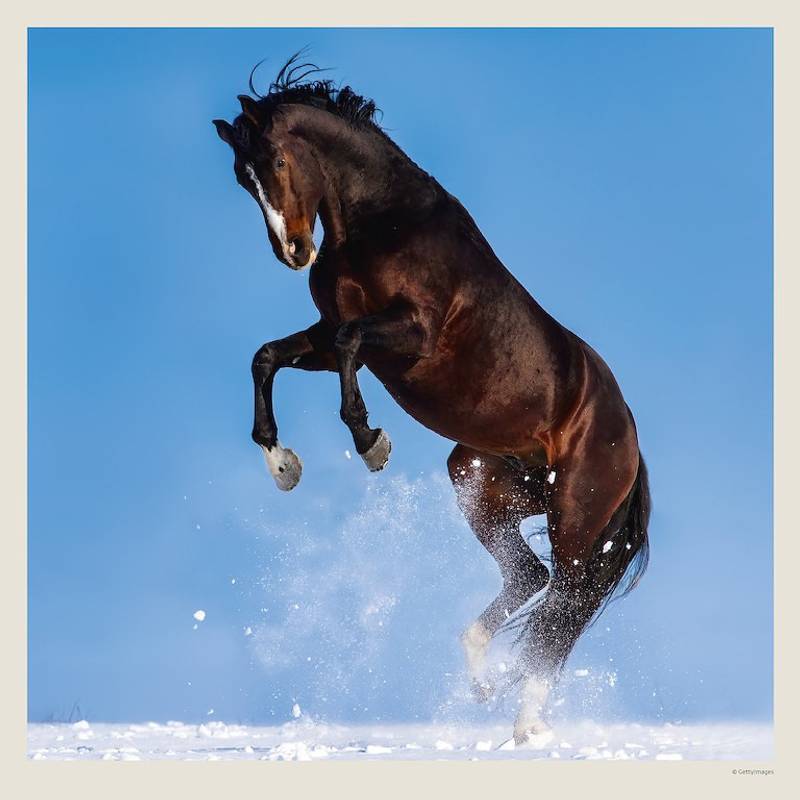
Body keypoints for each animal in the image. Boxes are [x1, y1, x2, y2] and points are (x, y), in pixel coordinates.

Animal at [213, 55, 651, 745]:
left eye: (277, 162)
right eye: (241, 177)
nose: (294, 252)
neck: (379, 222)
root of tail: (628, 434)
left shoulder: (408, 333)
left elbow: (346, 347)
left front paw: (371, 442)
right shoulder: (328, 332)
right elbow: (268, 356)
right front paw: (282, 465)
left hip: (576, 521)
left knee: (562, 606)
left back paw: (525, 722)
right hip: (479, 481)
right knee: (532, 578)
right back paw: (482, 681)